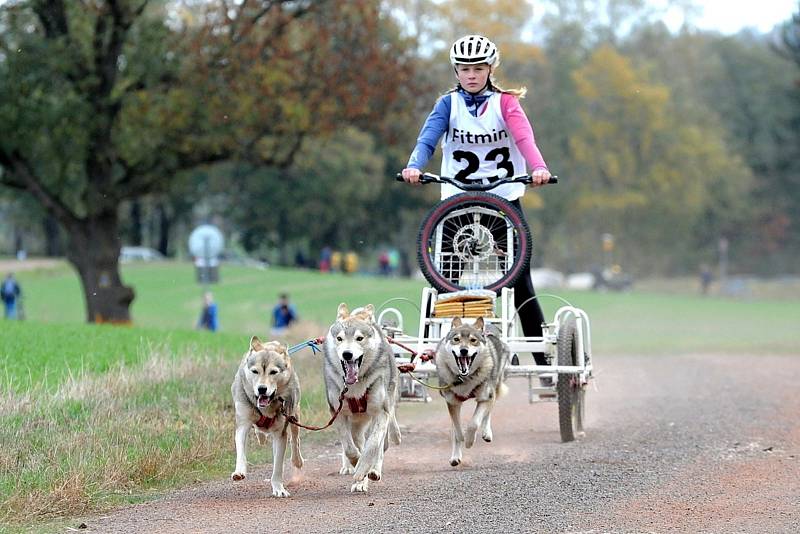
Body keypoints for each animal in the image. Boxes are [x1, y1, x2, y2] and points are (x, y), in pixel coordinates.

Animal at [234, 340, 306, 498]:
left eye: (273, 372)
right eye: (255, 371)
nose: (262, 389)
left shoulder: (280, 433)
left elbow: (278, 465)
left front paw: (279, 488)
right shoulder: (243, 422)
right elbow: (241, 450)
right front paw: (239, 472)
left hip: (294, 413)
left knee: (295, 439)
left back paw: (297, 460)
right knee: (259, 431)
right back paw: (261, 435)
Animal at [322, 304, 404, 496]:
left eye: (359, 338)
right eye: (339, 338)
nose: (347, 354)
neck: (355, 387)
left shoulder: (381, 412)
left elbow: (372, 446)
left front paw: (363, 469)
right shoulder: (338, 413)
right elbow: (350, 449)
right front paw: (356, 464)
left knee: (379, 445)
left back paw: (373, 471)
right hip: (356, 423)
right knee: (355, 441)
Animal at [434, 318, 510, 468]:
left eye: (473, 340)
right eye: (456, 339)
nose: (464, 351)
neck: (465, 379)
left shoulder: (485, 397)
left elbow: (474, 423)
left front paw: (469, 441)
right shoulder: (452, 402)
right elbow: (456, 431)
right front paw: (457, 451)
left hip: (493, 388)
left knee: (488, 412)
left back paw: (486, 433)